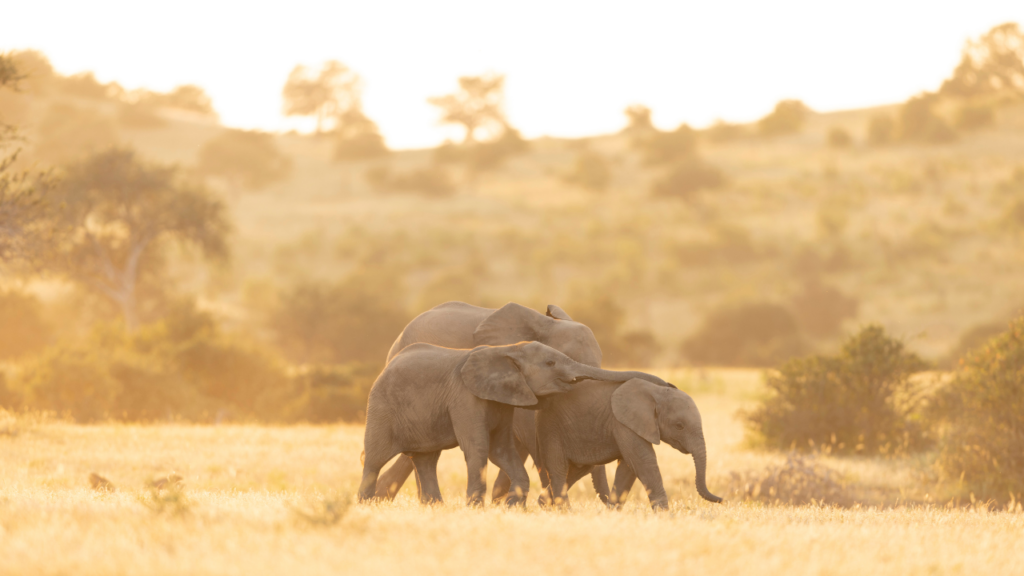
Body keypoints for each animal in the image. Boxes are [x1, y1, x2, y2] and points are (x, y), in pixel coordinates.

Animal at [535, 378, 722, 510]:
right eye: (679, 426)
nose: (721, 499)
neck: (657, 392)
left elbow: (628, 467)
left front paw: (612, 513)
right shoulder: (623, 422)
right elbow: (643, 462)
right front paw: (665, 515)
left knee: (576, 470)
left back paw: (544, 504)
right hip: (551, 428)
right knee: (559, 468)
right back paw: (564, 511)